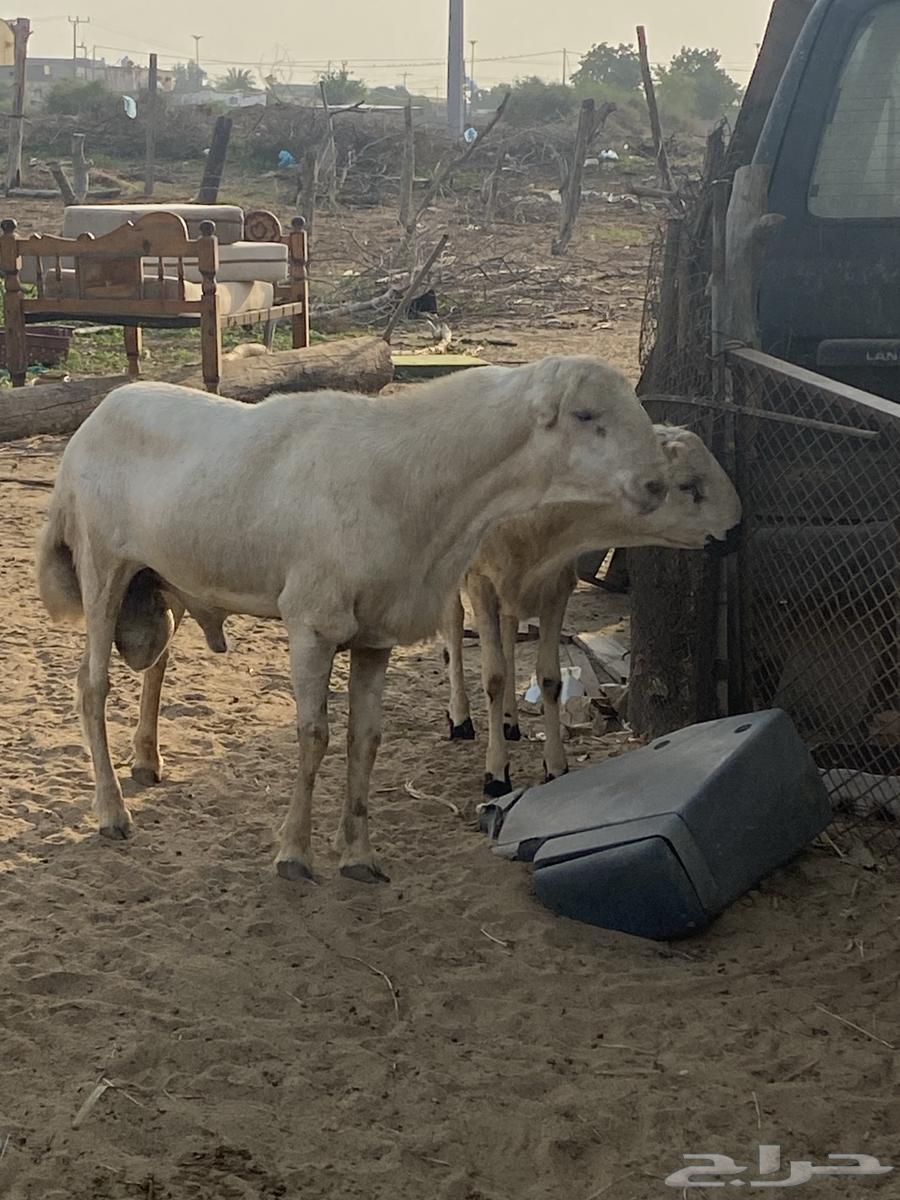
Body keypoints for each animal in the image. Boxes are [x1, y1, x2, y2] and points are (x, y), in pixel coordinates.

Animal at [35, 355, 670, 884]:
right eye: (586, 415)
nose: (656, 484)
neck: (415, 481)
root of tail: (98, 415)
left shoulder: (376, 636)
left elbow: (364, 739)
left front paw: (359, 856)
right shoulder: (312, 624)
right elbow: (313, 736)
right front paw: (294, 853)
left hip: (158, 583)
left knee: (155, 666)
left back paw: (147, 762)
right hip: (102, 567)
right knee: (91, 685)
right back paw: (112, 811)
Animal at [443, 426, 742, 795]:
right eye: (688, 484)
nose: (736, 532)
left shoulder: (556, 584)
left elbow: (550, 678)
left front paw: (555, 766)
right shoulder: (481, 580)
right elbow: (493, 678)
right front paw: (497, 774)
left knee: (509, 630)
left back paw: (510, 722)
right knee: (454, 626)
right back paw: (460, 718)